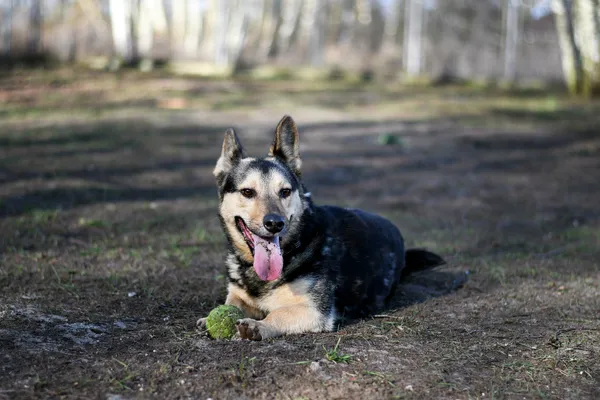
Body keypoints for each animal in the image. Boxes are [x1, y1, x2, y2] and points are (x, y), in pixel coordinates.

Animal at [202, 115, 446, 340]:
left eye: (285, 192)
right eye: (247, 192)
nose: (275, 224)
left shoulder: (314, 311)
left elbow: (278, 314)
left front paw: (258, 326)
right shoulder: (238, 295)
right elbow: (230, 302)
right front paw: (209, 318)